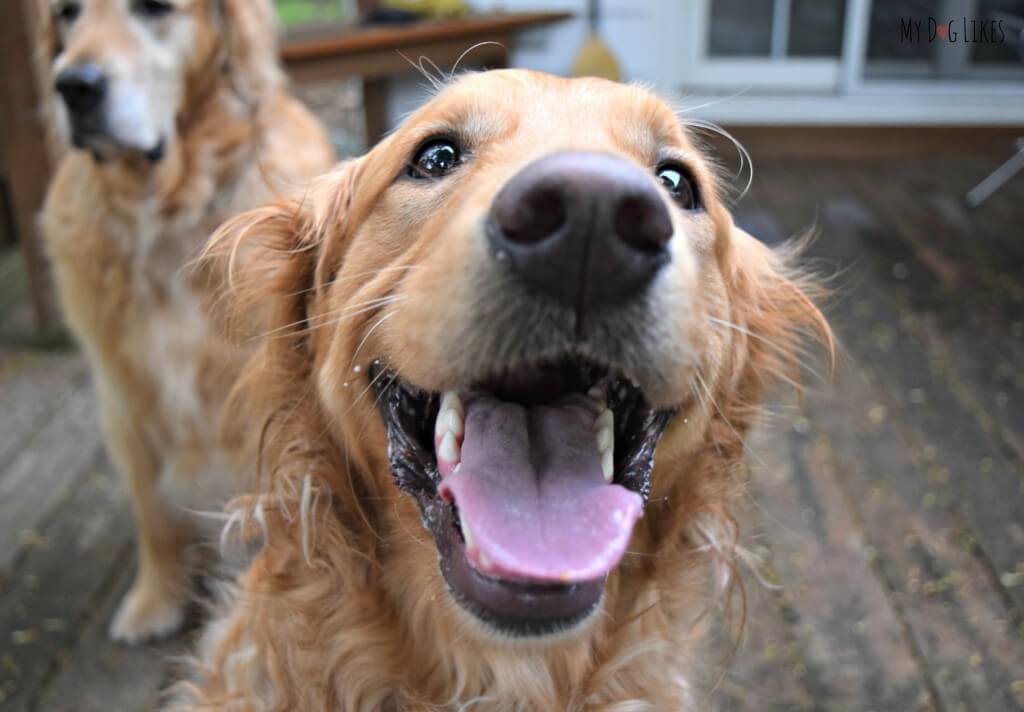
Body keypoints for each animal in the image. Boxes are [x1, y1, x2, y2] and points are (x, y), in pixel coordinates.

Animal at [37, 0, 335, 643]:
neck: (168, 217)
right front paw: (155, 599)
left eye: (155, 9)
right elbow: (153, 511)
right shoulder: (126, 397)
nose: (73, 86)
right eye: (67, 14)